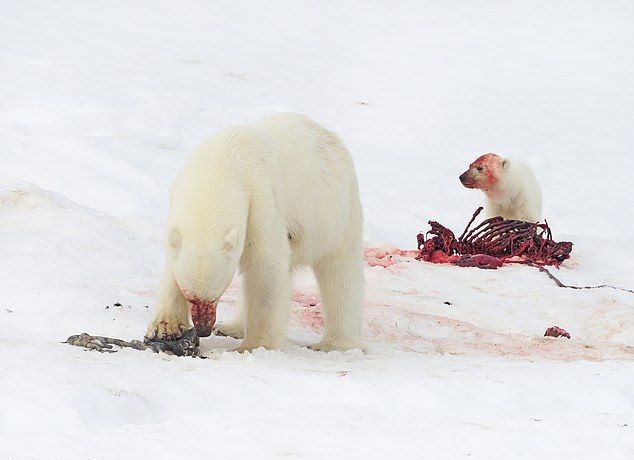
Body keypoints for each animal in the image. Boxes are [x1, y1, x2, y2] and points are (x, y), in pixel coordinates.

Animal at [143, 114, 360, 352]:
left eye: (216, 295)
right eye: (190, 297)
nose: (203, 330)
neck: (221, 165)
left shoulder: (261, 198)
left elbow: (266, 266)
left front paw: (255, 344)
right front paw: (165, 326)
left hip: (336, 213)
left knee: (340, 272)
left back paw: (335, 344)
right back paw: (232, 328)